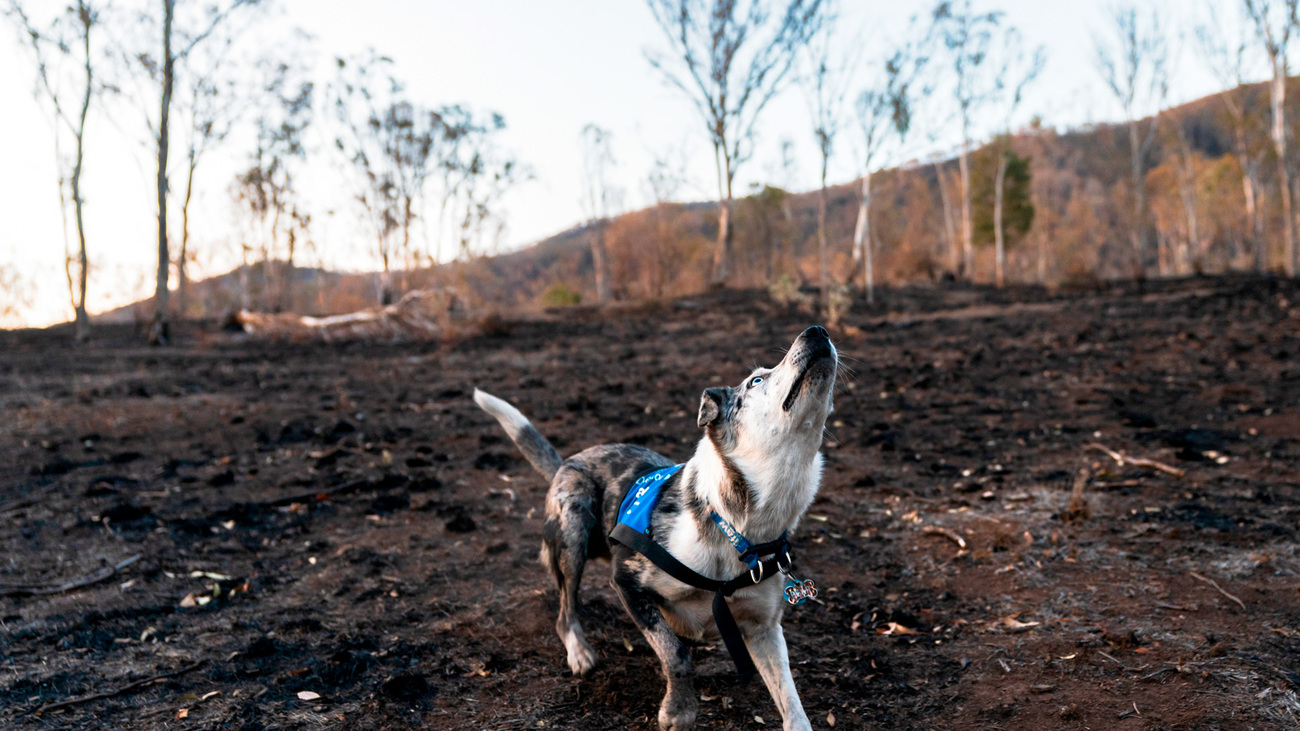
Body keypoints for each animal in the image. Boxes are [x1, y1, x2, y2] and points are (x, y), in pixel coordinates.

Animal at [473, 325, 837, 728]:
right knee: (566, 609)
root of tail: (566, 461)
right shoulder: (628, 581)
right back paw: (579, 652)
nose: (817, 330)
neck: (736, 525)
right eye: (756, 380)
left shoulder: (764, 629)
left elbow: (790, 698)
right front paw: (679, 711)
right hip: (573, 526)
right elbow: (674, 653)